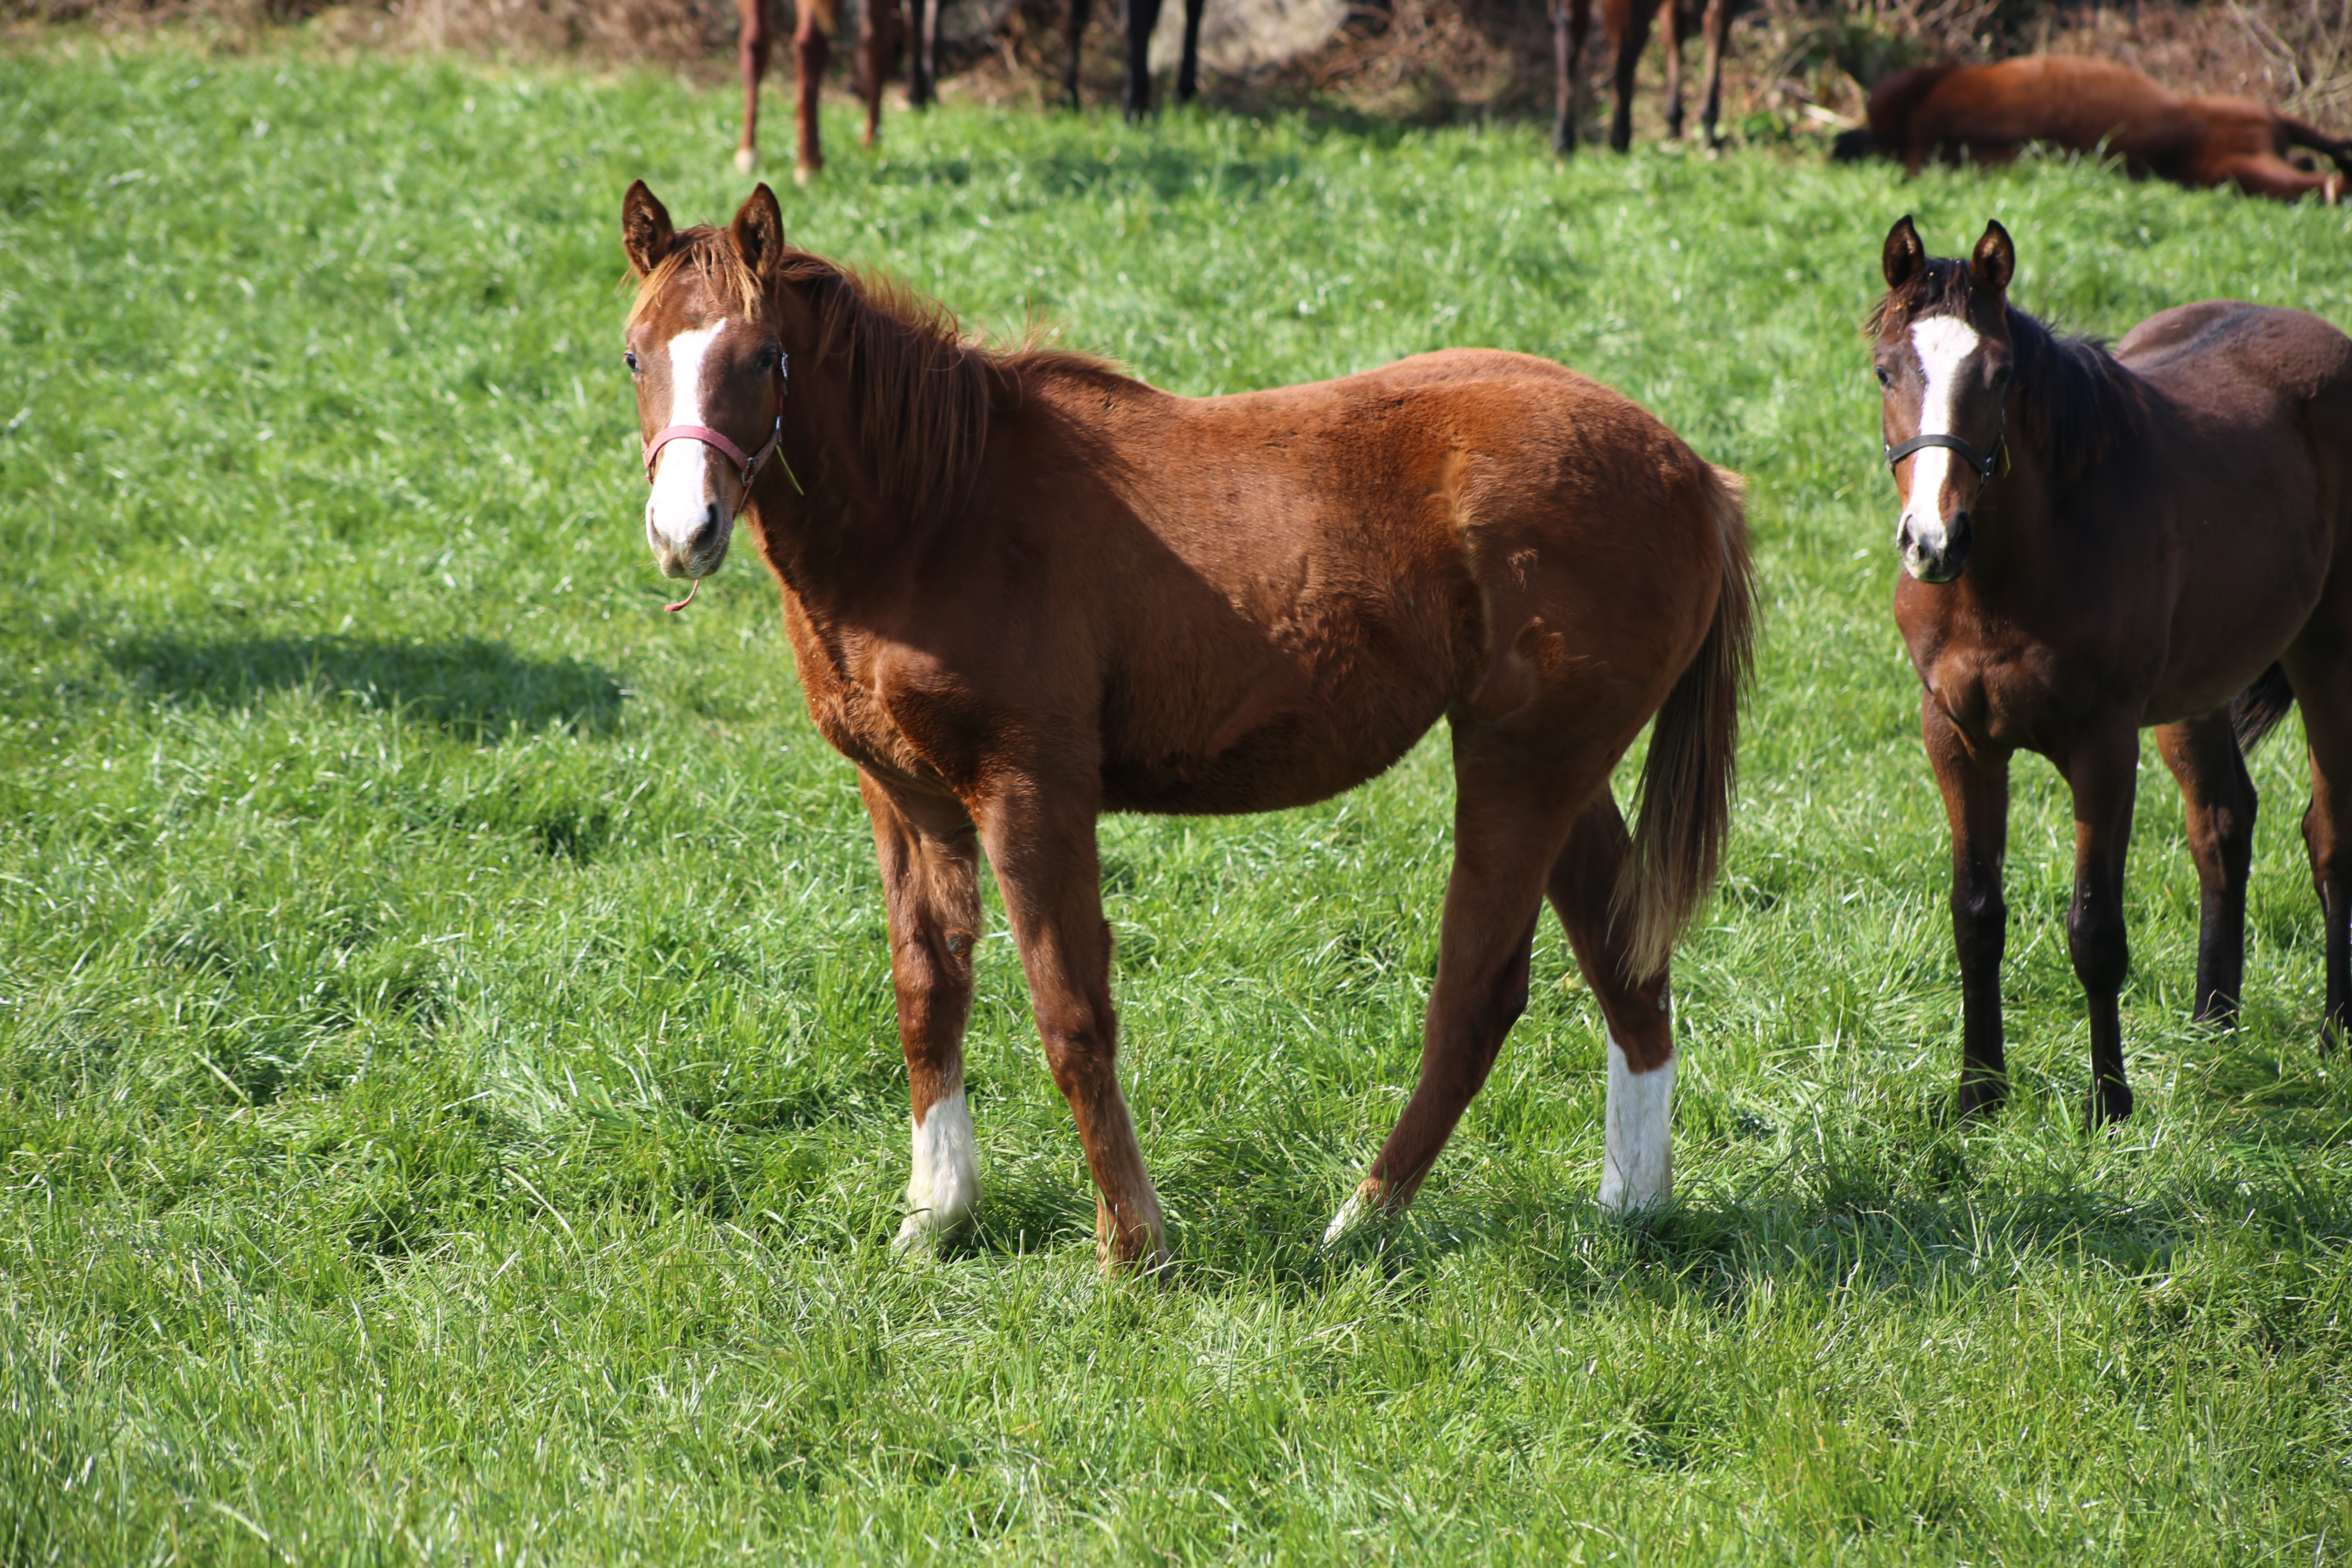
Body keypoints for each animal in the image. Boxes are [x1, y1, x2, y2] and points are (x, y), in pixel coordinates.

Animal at [616, 177, 1759, 1269]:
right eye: (634, 354)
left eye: (765, 356)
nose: (684, 531)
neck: (938, 511)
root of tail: (1693, 473)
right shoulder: (906, 796)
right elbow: (926, 992)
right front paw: (935, 1218)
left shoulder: (1029, 788)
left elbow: (1070, 1009)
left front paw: (1132, 1244)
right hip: (1561, 772)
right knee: (1627, 967)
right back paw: (1630, 1211)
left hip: (1517, 768)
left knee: (1479, 993)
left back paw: (1359, 1222)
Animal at [1552, 0, 1740, 155]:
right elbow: (1717, 28)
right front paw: (1709, 128)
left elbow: (1675, 30)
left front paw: (1675, 126)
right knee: (1627, 49)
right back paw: (1620, 139)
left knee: (1568, 46)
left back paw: (1564, 142)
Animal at [1872, 217, 2352, 1128]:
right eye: (1886, 370)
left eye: (2000, 374)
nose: (1934, 542)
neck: (2004, 584)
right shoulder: (1955, 738)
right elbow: (1975, 914)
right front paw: (1978, 1092)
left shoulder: (2102, 747)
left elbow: (2095, 931)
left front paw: (2109, 1103)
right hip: (2196, 691)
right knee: (2222, 823)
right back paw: (2212, 1025)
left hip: (2330, 654)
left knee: (2331, 835)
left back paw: (2336, 1033)